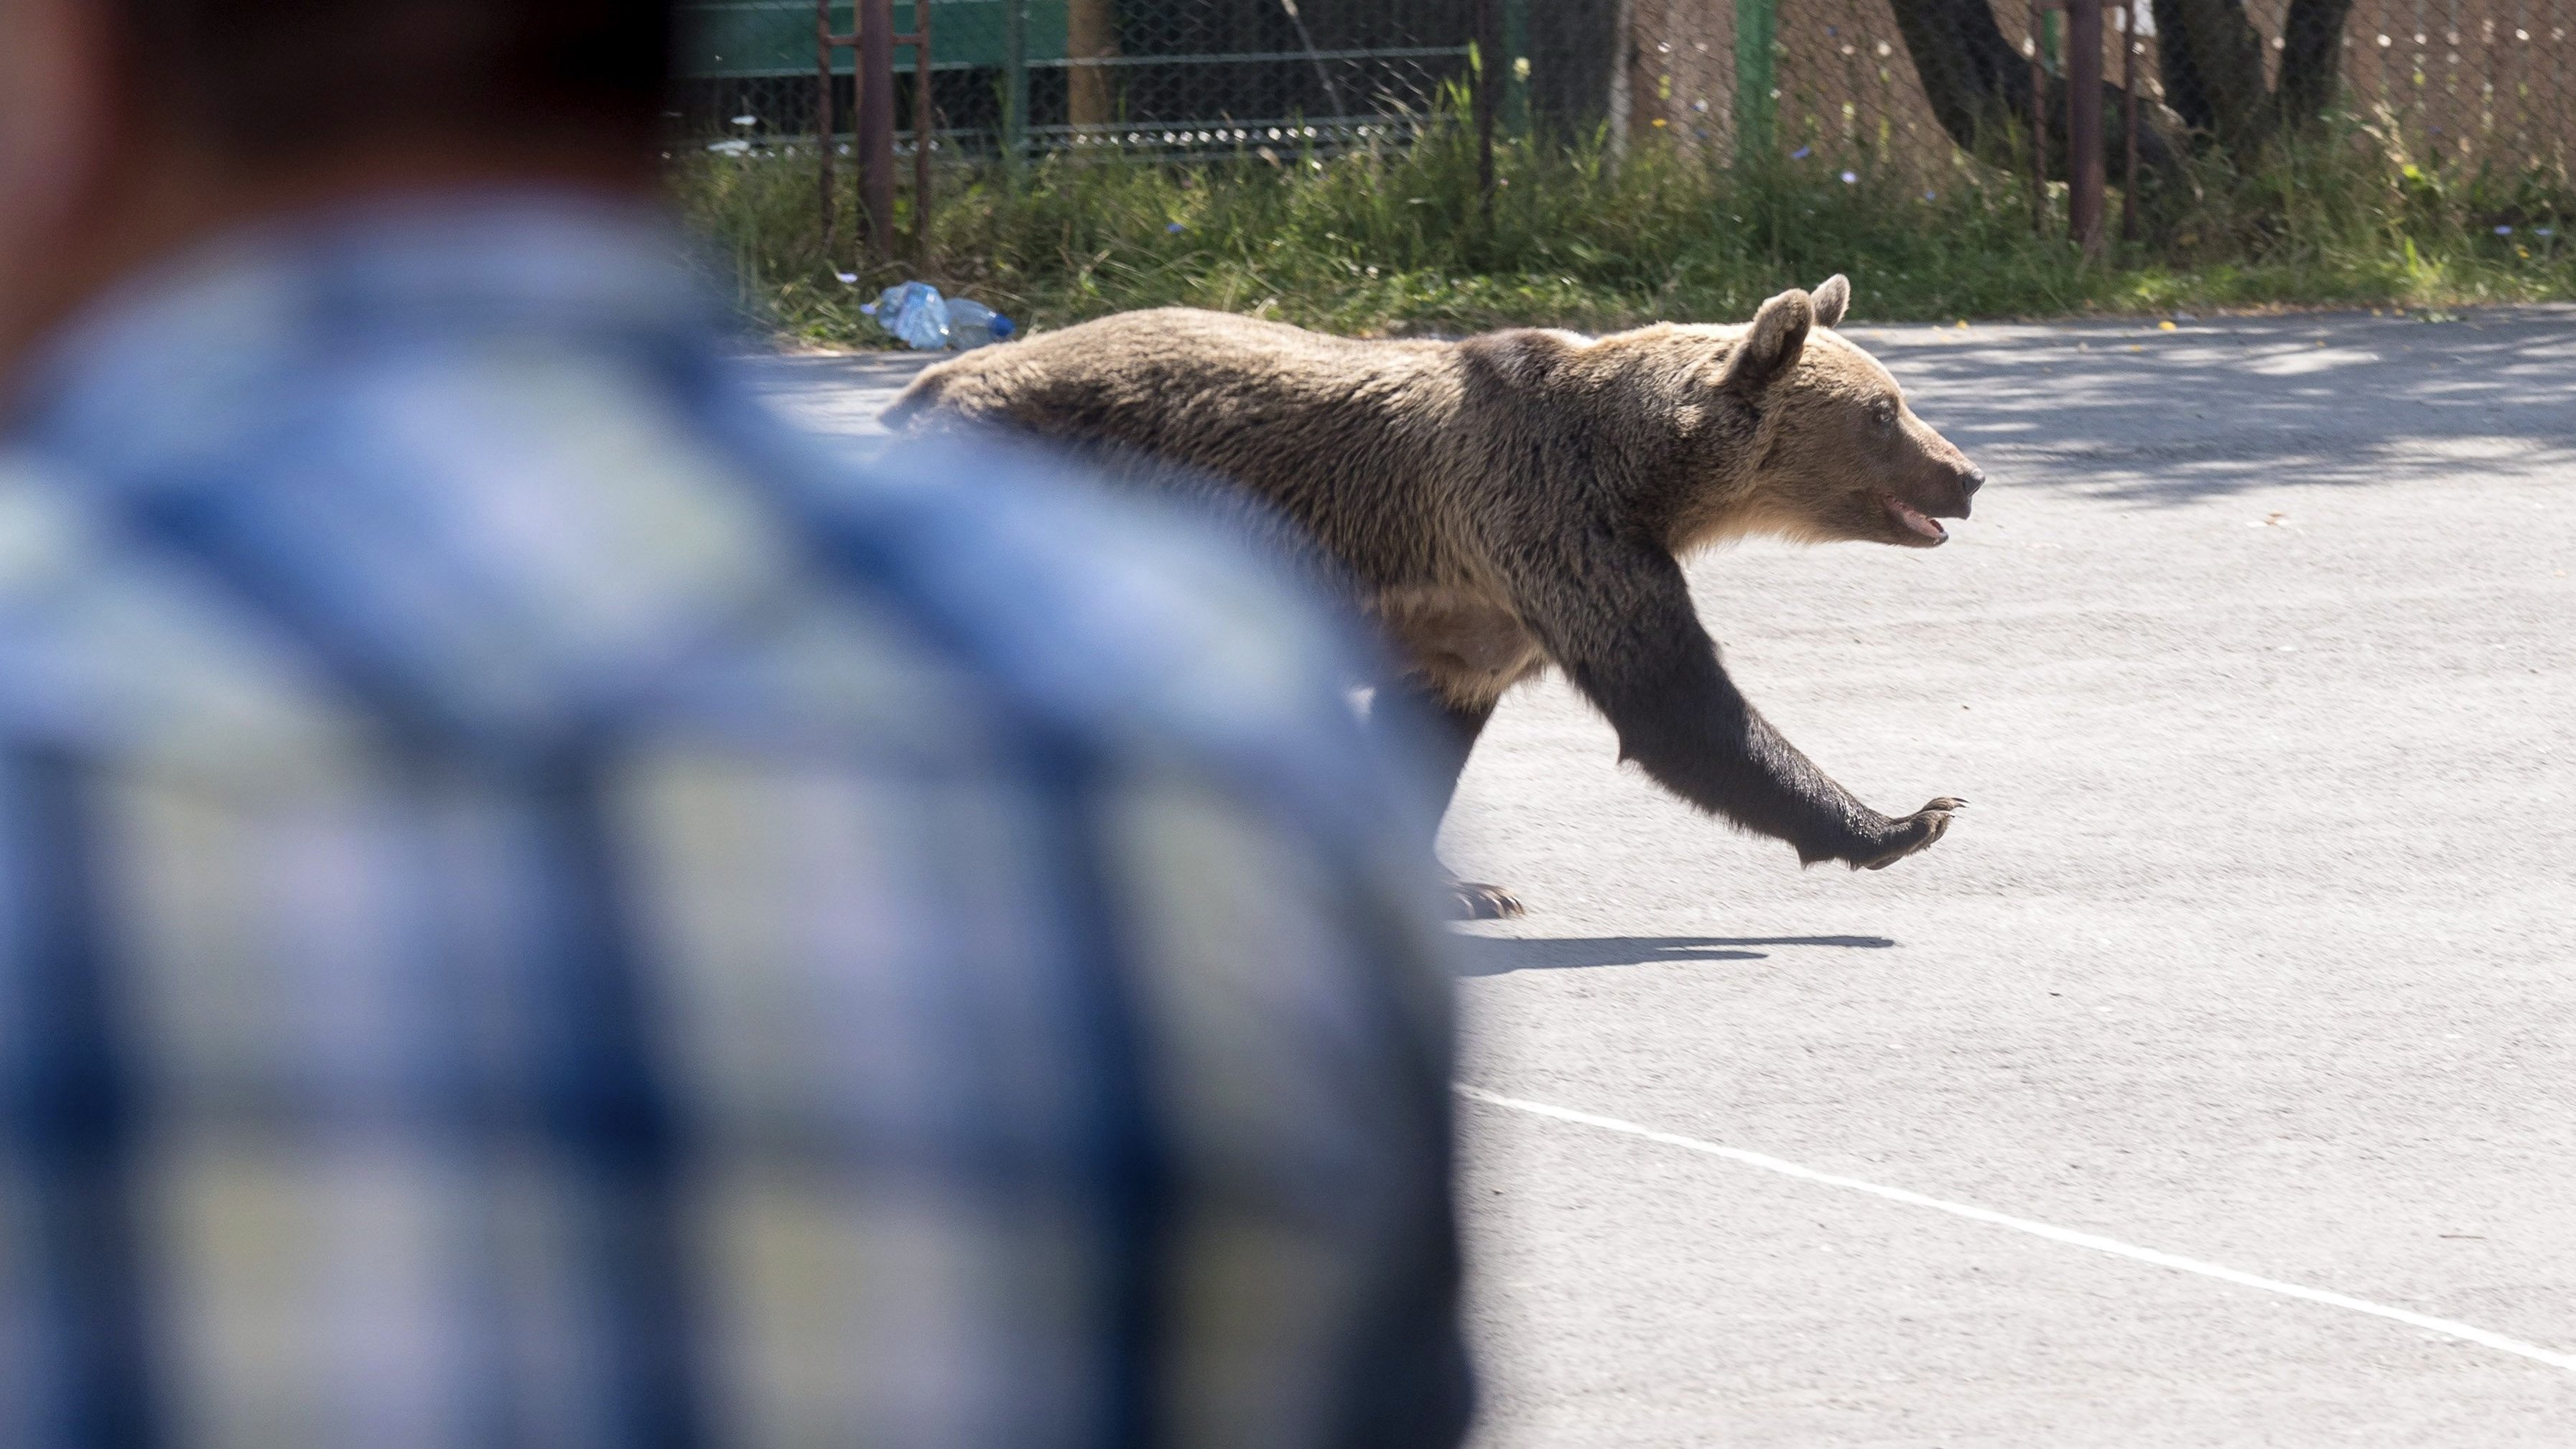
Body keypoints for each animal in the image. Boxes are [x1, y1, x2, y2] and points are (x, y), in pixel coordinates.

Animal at [896, 279, 1978, 916]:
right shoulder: (1554, 529)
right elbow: (1675, 705)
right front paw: (1902, 820)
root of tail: (927, 386)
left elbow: (1427, 731)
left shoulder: (1475, 611)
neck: (1648, 476)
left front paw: (1462, 888)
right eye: (1884, 411)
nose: (1964, 475)